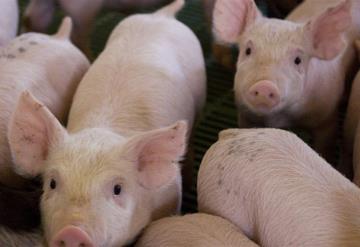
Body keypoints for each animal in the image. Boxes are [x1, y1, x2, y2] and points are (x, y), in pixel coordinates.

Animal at [212, 0, 360, 162]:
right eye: (248, 51)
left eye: (298, 60)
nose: (264, 86)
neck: (283, 118)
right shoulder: (246, 116)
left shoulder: (327, 118)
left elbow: (324, 147)